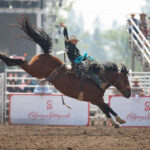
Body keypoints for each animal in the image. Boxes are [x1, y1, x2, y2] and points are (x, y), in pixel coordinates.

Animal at [0, 16, 131, 127]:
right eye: (125, 79)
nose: (129, 94)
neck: (99, 79)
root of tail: (45, 54)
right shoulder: (96, 99)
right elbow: (107, 109)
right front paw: (117, 121)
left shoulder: (96, 101)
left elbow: (108, 109)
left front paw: (118, 121)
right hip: (34, 70)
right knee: (22, 62)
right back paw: (5, 58)